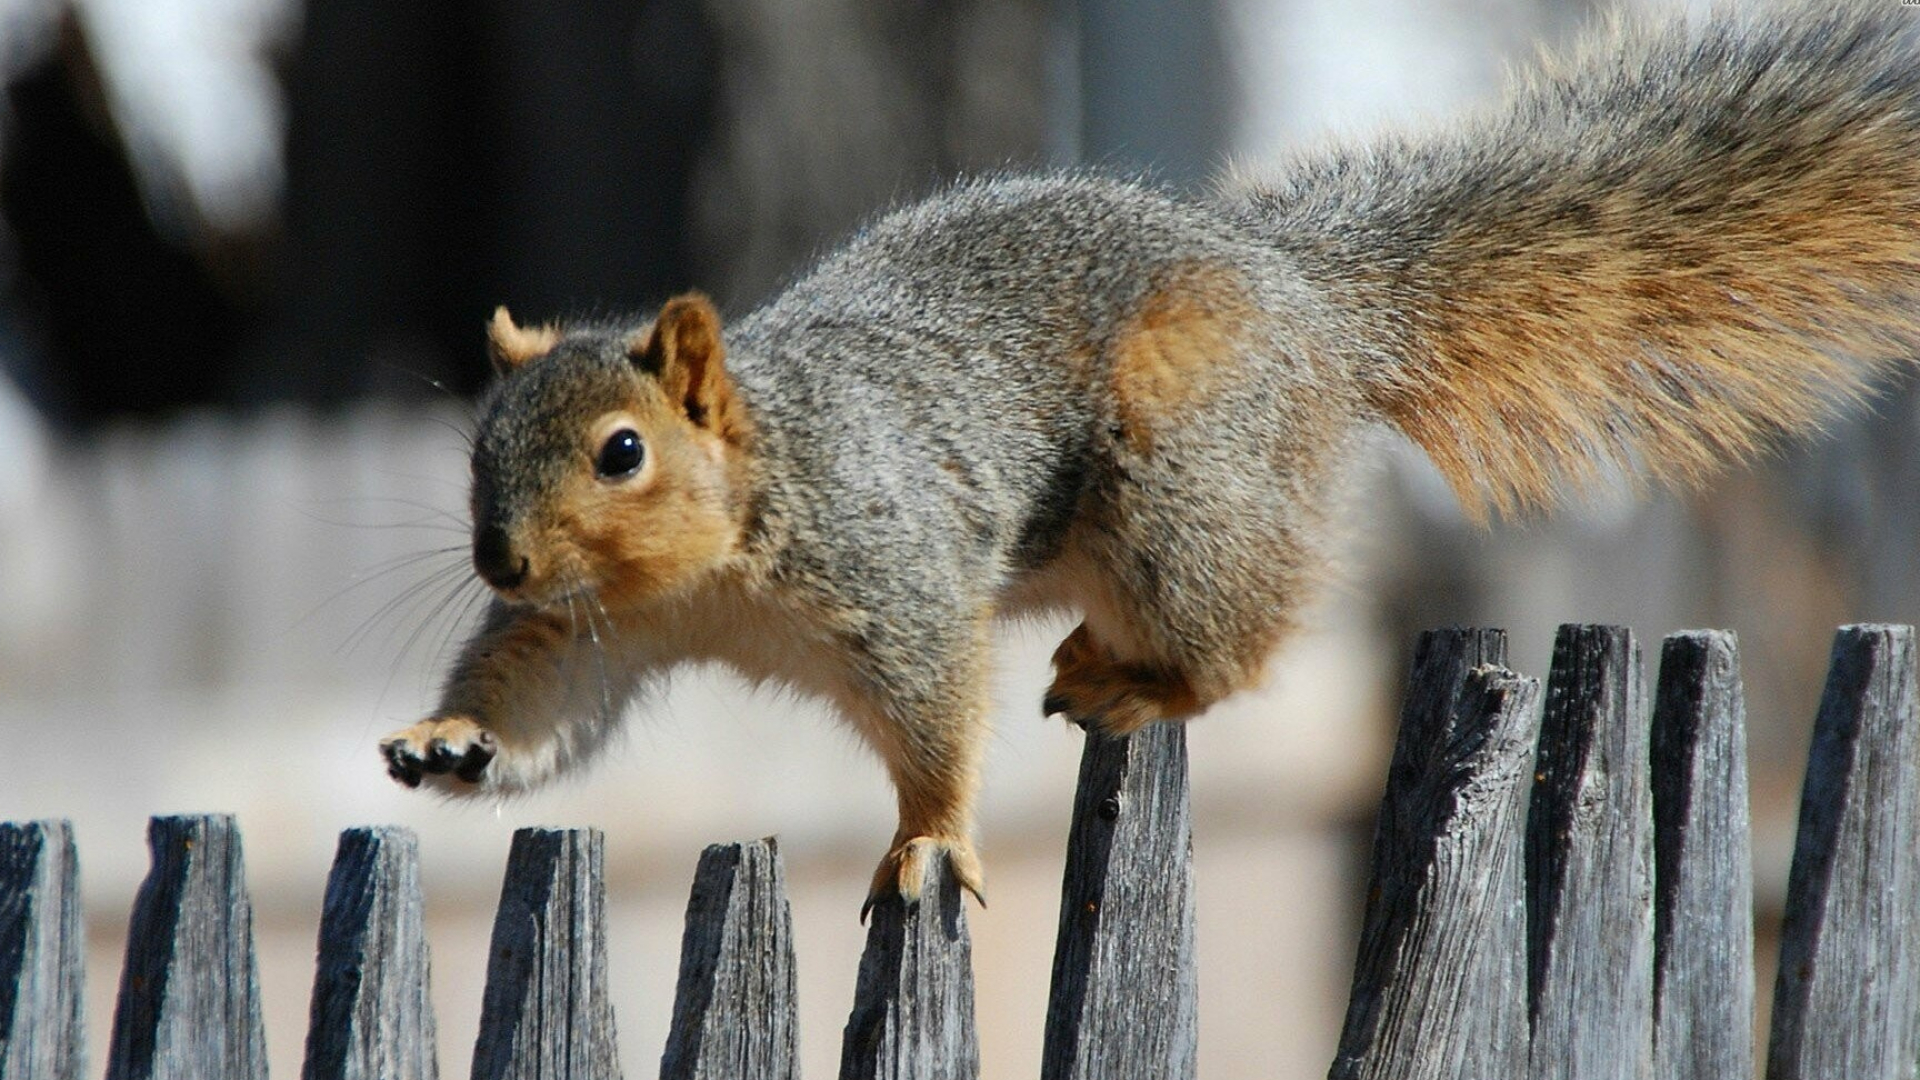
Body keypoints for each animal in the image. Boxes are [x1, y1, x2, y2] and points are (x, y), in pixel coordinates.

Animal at [378, 0, 1920, 907]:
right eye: (479, 449)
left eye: (622, 452)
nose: (497, 557)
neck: (719, 554)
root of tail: (1307, 300)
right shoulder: (591, 631)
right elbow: (544, 704)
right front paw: (448, 739)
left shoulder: (897, 577)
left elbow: (937, 721)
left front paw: (929, 840)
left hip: (1180, 478)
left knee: (1244, 642)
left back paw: (1138, 678)